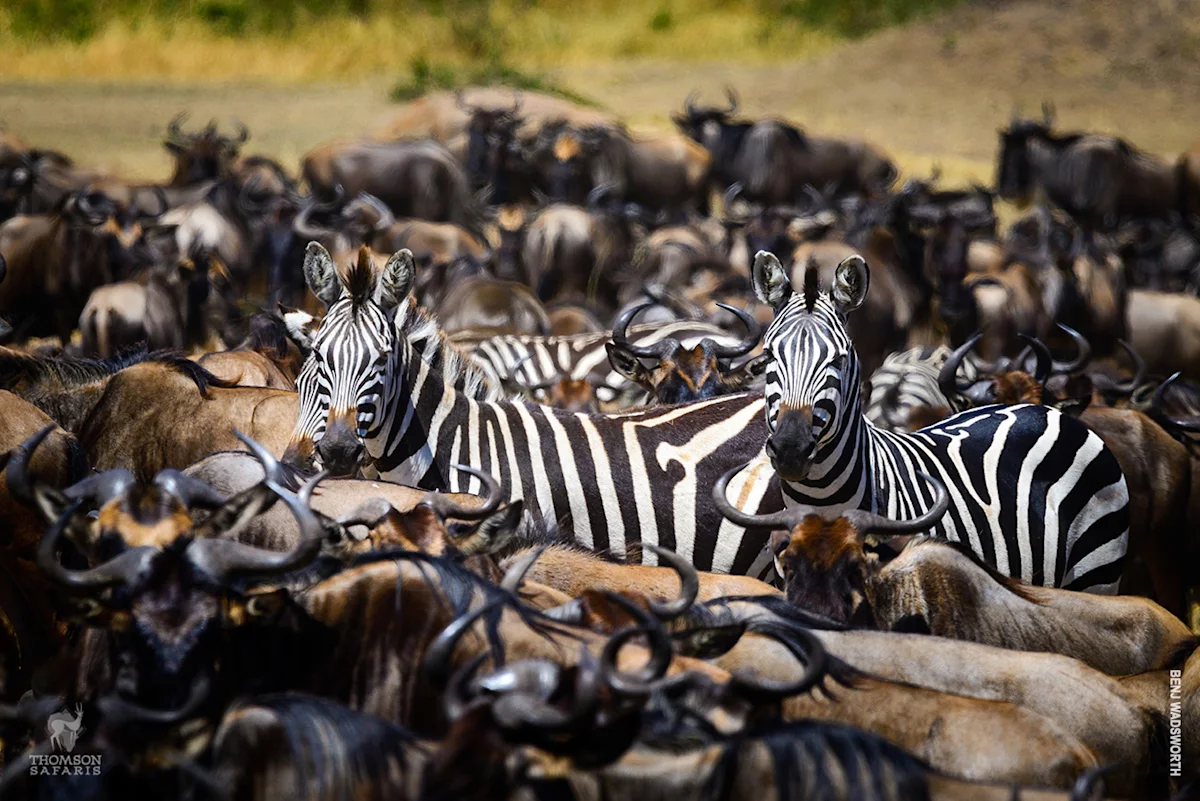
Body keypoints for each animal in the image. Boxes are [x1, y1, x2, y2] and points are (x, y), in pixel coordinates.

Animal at [740, 249, 1129, 593]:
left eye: (838, 359)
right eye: (769, 355)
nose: (790, 449)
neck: (822, 502)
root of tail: (1045, 410)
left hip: (1098, 571)